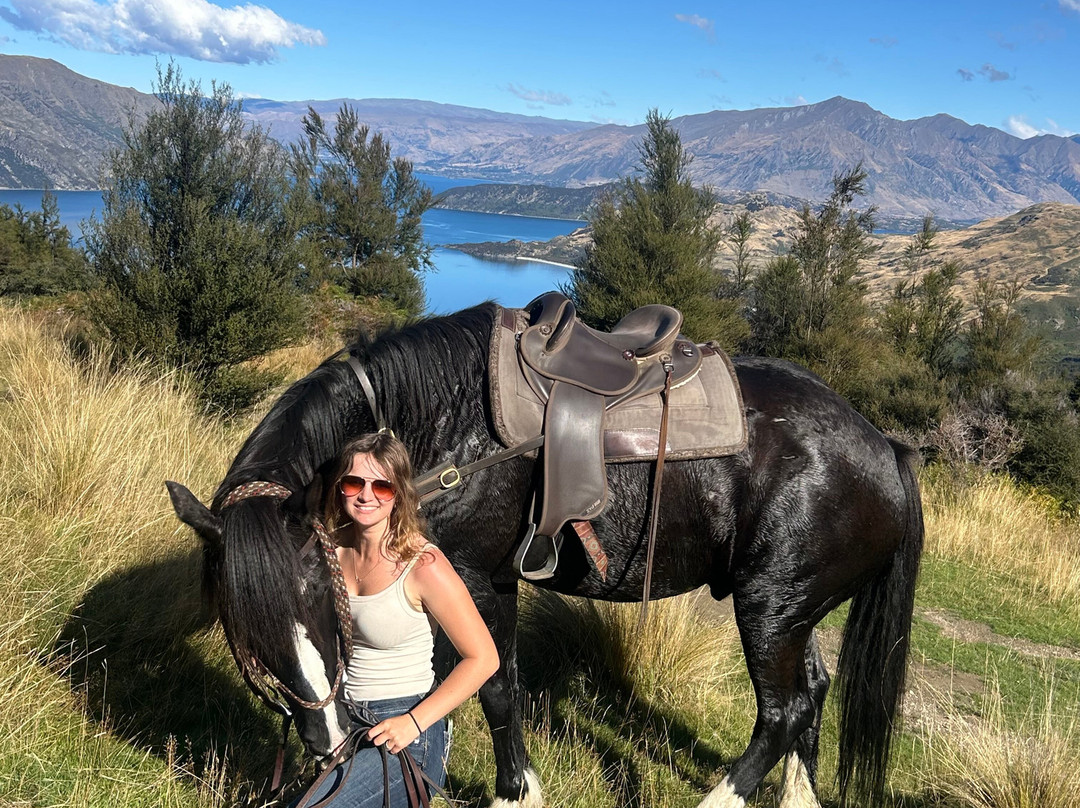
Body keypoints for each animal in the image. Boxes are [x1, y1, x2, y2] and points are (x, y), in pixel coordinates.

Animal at [168, 301, 923, 808]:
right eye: (245, 637)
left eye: (324, 603)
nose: (327, 746)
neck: (439, 423)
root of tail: (885, 447)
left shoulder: (478, 579)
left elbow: (497, 687)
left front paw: (515, 793)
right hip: (793, 609)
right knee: (813, 692)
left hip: (769, 610)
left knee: (783, 712)